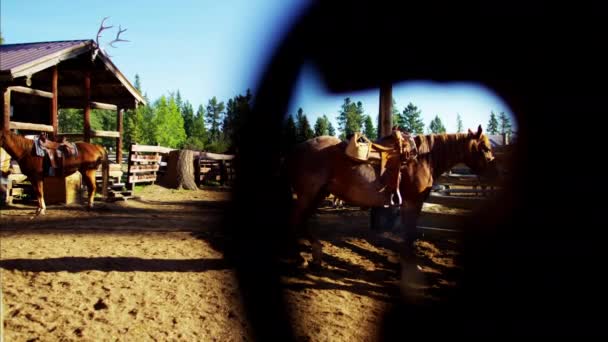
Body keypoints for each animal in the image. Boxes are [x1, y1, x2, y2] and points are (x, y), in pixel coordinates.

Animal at [284, 125, 498, 268]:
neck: (423, 158)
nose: (496, 174)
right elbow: (409, 232)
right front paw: (411, 263)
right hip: (308, 194)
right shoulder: (412, 203)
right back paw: (300, 257)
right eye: (485, 149)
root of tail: (294, 150)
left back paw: (316, 253)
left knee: (302, 221)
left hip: (318, 194)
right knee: (295, 220)